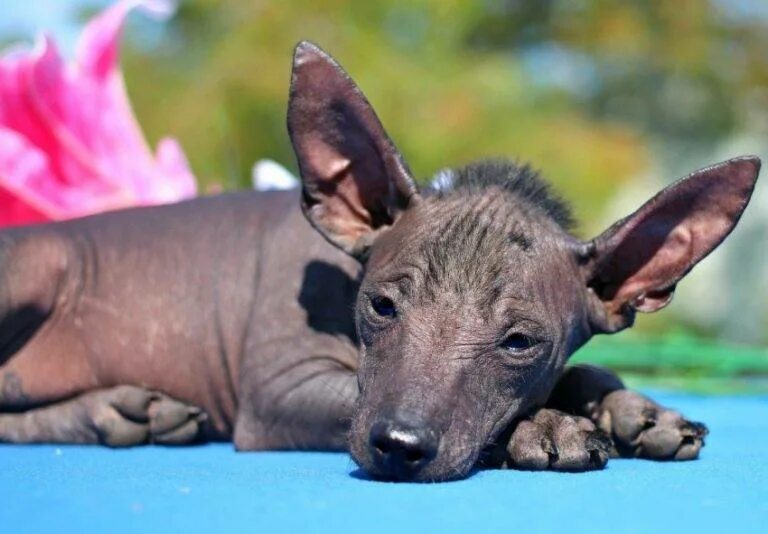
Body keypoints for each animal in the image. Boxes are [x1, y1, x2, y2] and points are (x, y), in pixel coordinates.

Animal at [0, 44, 756, 484]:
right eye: (383, 307)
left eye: (519, 342)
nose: (398, 445)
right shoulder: (281, 392)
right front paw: (546, 426)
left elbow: (583, 371)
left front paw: (634, 409)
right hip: (41, 263)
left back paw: (121, 412)